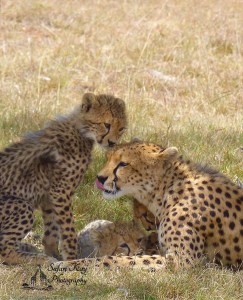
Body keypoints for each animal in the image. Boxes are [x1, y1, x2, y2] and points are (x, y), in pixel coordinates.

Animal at [0, 92, 127, 264]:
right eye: (106, 125)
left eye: (121, 128)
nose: (112, 142)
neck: (81, 131)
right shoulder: (61, 191)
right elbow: (68, 230)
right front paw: (72, 260)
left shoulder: (50, 195)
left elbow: (52, 230)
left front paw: (55, 254)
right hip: (21, 205)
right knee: (4, 250)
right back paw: (37, 258)